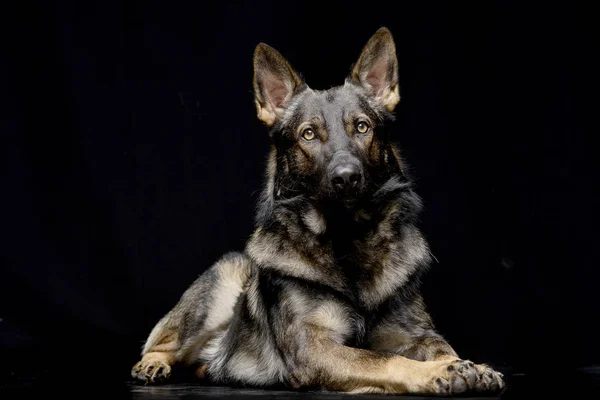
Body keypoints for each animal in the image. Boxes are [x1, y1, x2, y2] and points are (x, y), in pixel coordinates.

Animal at [132, 27, 506, 394]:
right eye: (309, 134)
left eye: (362, 127)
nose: (347, 177)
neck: (349, 239)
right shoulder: (315, 348)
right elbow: (384, 359)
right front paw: (433, 373)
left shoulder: (416, 334)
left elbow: (442, 348)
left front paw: (467, 366)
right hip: (226, 276)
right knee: (161, 344)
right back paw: (153, 365)